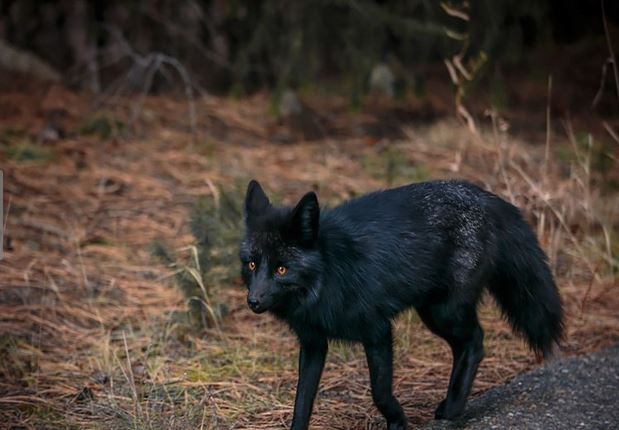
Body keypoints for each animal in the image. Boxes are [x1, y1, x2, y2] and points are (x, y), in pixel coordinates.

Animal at [240, 180, 564, 428]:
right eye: (253, 264)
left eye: (282, 269)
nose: (253, 301)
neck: (327, 276)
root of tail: (486, 196)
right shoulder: (313, 343)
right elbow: (302, 401)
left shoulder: (378, 332)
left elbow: (380, 392)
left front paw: (397, 421)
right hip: (433, 313)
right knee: (466, 345)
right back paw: (451, 402)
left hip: (442, 313)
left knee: (476, 341)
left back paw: (453, 408)